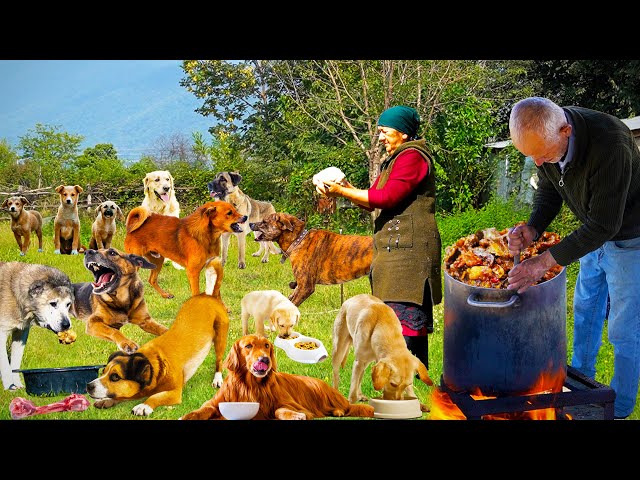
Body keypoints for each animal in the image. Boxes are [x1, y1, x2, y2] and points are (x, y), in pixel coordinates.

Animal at [0, 262, 75, 390]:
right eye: (53, 304)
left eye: (68, 304)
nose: (66, 324)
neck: (15, 295)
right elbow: (5, 364)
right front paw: (9, 386)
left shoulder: (22, 333)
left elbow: (15, 361)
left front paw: (18, 385)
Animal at [87, 292, 230, 416]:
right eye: (103, 372)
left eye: (115, 377)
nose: (88, 386)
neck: (154, 365)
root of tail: (208, 295)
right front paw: (106, 401)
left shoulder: (175, 392)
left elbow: (155, 397)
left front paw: (143, 406)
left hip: (220, 338)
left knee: (219, 360)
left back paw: (217, 379)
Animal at [180, 334, 376, 420]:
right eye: (248, 346)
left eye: (267, 345)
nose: (264, 360)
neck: (250, 385)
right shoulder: (217, 402)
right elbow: (203, 409)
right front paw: (187, 415)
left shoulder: (296, 406)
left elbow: (278, 410)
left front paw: (295, 416)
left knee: (346, 407)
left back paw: (338, 410)